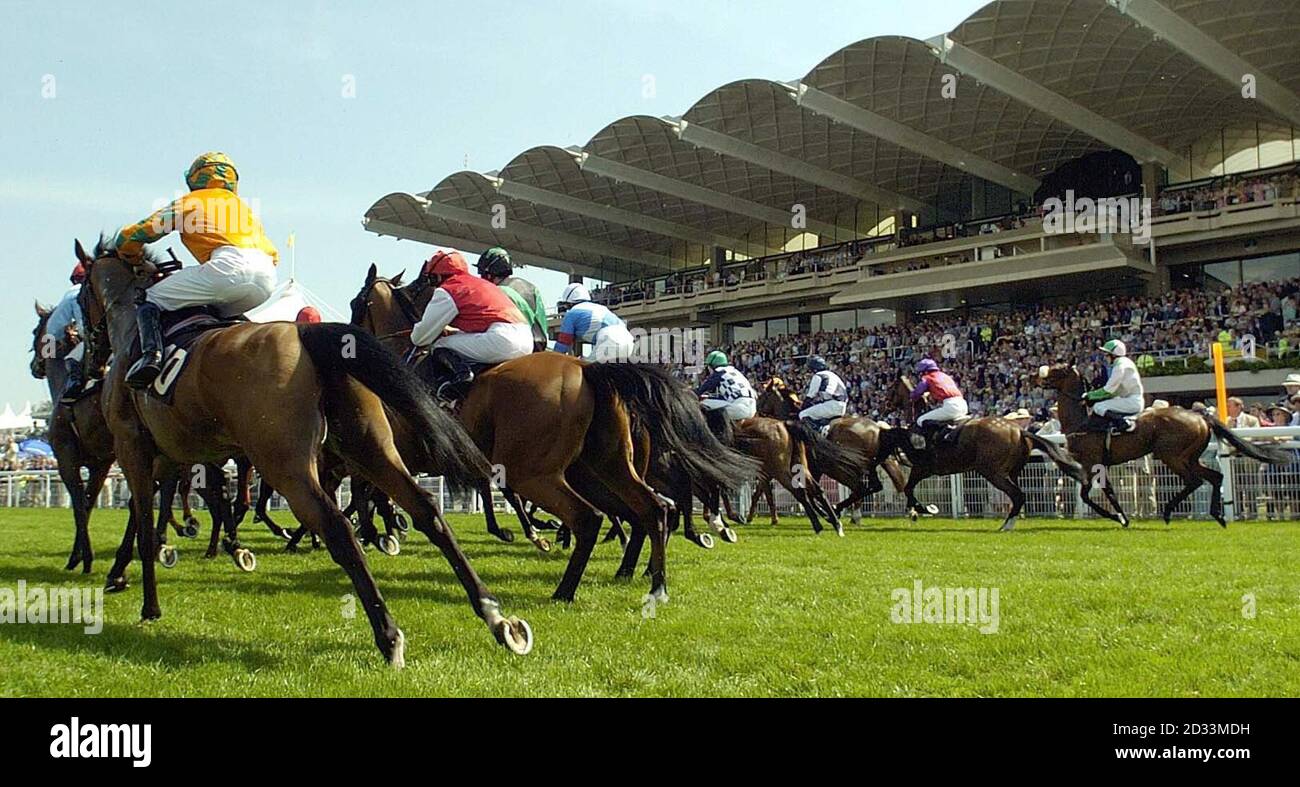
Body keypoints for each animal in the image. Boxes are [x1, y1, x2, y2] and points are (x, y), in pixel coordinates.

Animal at [77, 240, 533, 663]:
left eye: (80, 295)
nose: (89, 357)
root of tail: (307, 335)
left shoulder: (135, 448)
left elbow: (143, 518)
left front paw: (142, 597)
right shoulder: (173, 455)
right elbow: (168, 511)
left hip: (286, 464)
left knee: (338, 528)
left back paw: (388, 633)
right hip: (369, 448)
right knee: (427, 510)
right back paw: (497, 615)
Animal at [759, 377, 909, 517]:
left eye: (762, 396)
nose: (757, 414)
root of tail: (878, 428)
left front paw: (821, 509)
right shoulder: (815, 468)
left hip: (841, 468)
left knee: (861, 487)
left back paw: (838, 509)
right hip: (868, 467)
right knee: (873, 486)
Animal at [873, 372, 1086, 530]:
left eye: (891, 388)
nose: (884, 405)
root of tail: (1019, 430)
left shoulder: (922, 468)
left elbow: (908, 488)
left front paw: (921, 509)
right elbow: (908, 488)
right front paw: (916, 511)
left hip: (992, 472)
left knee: (1017, 495)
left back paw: (1006, 526)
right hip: (1012, 471)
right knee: (1018, 496)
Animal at [1029, 364, 1294, 528]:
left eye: (1057, 368)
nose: (1032, 375)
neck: (1082, 421)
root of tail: (1200, 416)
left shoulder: (1091, 463)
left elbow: (1089, 494)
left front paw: (1119, 518)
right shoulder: (1099, 465)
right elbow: (1107, 492)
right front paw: (1122, 517)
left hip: (1172, 456)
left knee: (1195, 481)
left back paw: (1168, 513)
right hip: (1189, 457)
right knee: (1215, 477)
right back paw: (1217, 515)